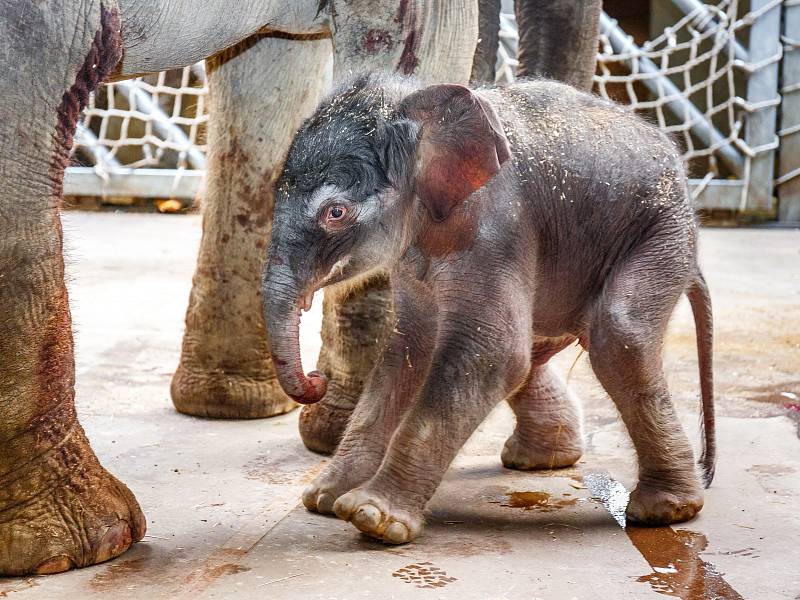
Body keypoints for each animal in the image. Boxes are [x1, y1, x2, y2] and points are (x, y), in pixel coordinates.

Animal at [260, 71, 712, 544]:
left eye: (335, 212)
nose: (315, 380)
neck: (418, 107)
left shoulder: (498, 229)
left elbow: (491, 352)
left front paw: (374, 518)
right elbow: (409, 350)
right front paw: (325, 498)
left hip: (662, 232)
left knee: (618, 336)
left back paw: (665, 510)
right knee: (544, 347)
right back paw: (542, 461)